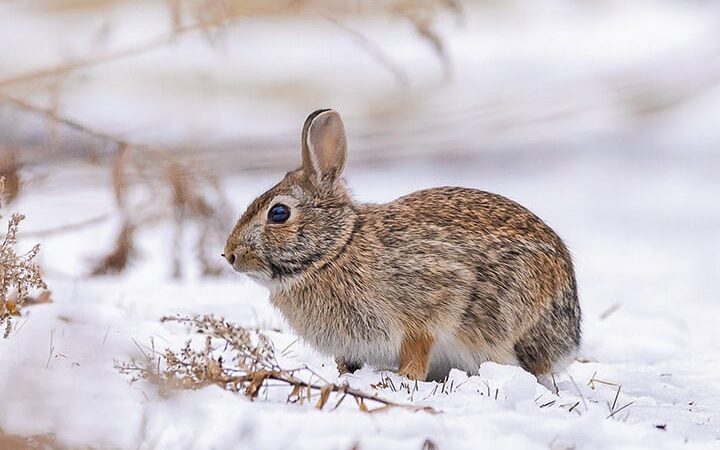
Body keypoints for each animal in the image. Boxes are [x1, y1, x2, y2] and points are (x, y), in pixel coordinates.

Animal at [222, 109, 584, 380]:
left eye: (279, 213)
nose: (230, 255)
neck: (337, 249)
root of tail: (570, 337)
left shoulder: (429, 302)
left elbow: (417, 347)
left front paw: (405, 378)